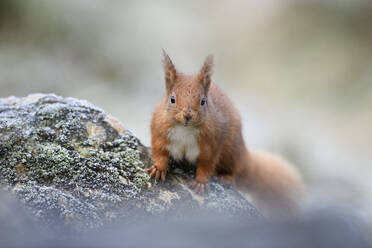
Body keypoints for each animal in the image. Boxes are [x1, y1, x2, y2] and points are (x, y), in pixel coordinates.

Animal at [147, 51, 304, 216]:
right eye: (172, 99)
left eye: (203, 101)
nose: (188, 116)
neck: (185, 129)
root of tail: (245, 154)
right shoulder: (159, 133)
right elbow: (159, 152)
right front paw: (158, 169)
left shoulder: (211, 144)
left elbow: (206, 164)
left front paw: (201, 183)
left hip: (231, 151)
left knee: (237, 169)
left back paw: (226, 177)